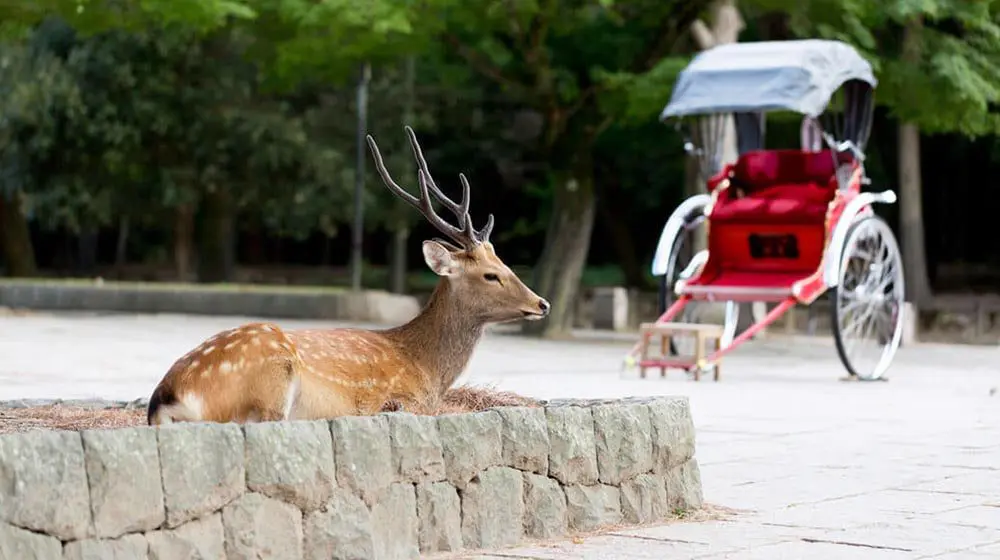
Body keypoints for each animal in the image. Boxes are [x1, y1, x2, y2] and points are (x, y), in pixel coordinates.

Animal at [146, 126, 550, 425]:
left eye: (507, 265)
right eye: (491, 275)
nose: (542, 303)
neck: (426, 369)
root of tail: (167, 394)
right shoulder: (398, 397)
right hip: (270, 382)